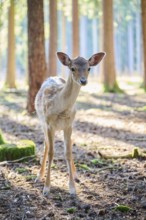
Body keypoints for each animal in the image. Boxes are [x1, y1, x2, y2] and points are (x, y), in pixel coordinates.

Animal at [35, 52, 106, 196]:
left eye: (89, 68)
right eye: (72, 68)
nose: (83, 81)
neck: (61, 109)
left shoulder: (68, 125)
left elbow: (67, 153)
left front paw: (72, 188)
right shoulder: (49, 124)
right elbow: (51, 152)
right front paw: (46, 188)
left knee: (69, 145)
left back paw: (76, 175)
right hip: (42, 122)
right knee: (46, 144)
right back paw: (39, 176)